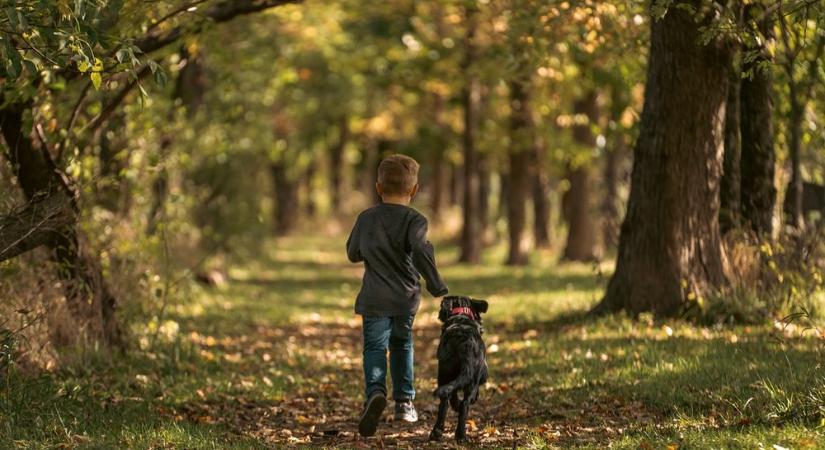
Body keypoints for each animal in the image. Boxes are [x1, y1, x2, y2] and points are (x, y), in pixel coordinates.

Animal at [428, 298, 486, 442]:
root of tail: (464, 344)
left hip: (444, 374)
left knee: (445, 401)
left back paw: (437, 432)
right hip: (472, 380)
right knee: (465, 404)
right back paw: (461, 435)